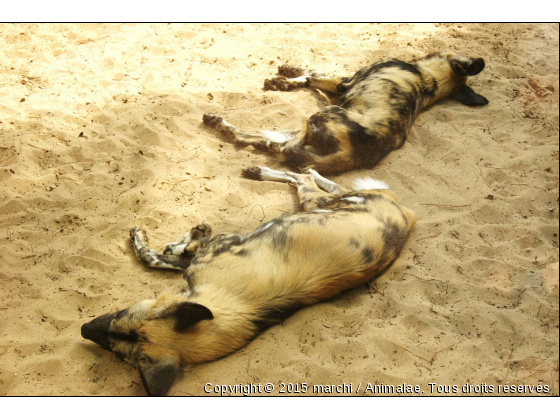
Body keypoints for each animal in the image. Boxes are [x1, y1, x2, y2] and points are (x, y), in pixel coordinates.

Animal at [82, 167, 416, 394]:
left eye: (120, 318)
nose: (84, 329)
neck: (231, 305)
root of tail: (405, 215)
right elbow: (165, 254)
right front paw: (176, 241)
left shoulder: (216, 247)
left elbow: (156, 253)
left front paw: (164, 239)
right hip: (324, 203)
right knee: (314, 179)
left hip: (319, 203)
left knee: (303, 179)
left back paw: (269, 171)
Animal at [203, 52, 488, 174]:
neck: (430, 80)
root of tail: (353, 155)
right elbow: (310, 73)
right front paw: (286, 74)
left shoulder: (344, 83)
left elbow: (310, 75)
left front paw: (282, 79)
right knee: (257, 138)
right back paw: (217, 122)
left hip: (323, 114)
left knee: (281, 147)